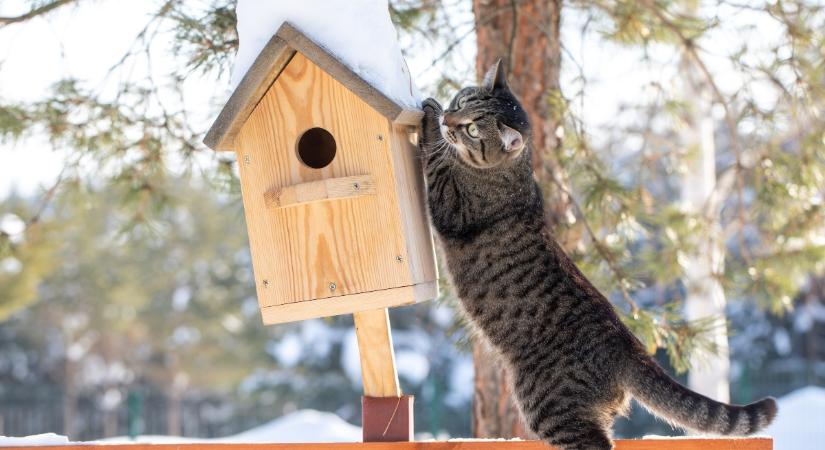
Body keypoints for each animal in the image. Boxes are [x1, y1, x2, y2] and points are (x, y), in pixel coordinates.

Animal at [422, 59, 776, 450]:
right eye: (460, 102)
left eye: (471, 129)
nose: (448, 118)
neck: (511, 170)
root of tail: (629, 348)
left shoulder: (451, 204)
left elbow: (434, 160)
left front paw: (428, 119)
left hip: (551, 407)